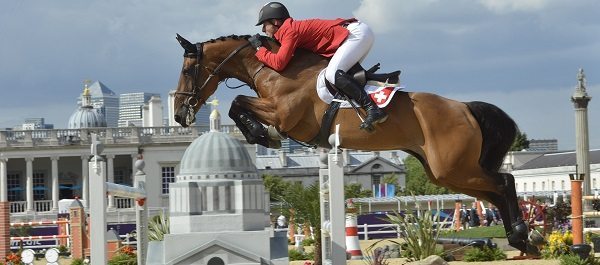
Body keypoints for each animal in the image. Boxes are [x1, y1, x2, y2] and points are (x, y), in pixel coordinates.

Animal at [172, 34, 528, 253]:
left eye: (188, 70)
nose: (178, 113)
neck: (274, 70)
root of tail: (465, 107)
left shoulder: (285, 116)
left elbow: (238, 103)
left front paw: (262, 135)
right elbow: (238, 105)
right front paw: (260, 135)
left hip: (454, 168)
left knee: (504, 181)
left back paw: (523, 235)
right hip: (448, 172)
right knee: (495, 191)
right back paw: (522, 239)